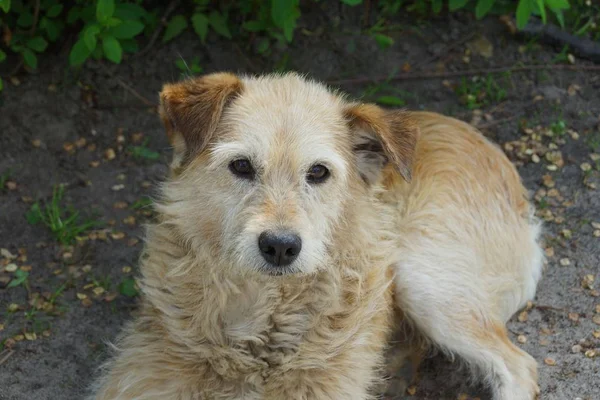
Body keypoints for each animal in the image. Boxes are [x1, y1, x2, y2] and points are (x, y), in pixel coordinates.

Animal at [90, 72, 544, 400]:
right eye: (241, 166)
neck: (265, 316)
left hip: (425, 279)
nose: (280, 246)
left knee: (519, 365)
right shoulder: (143, 376)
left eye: (319, 172)